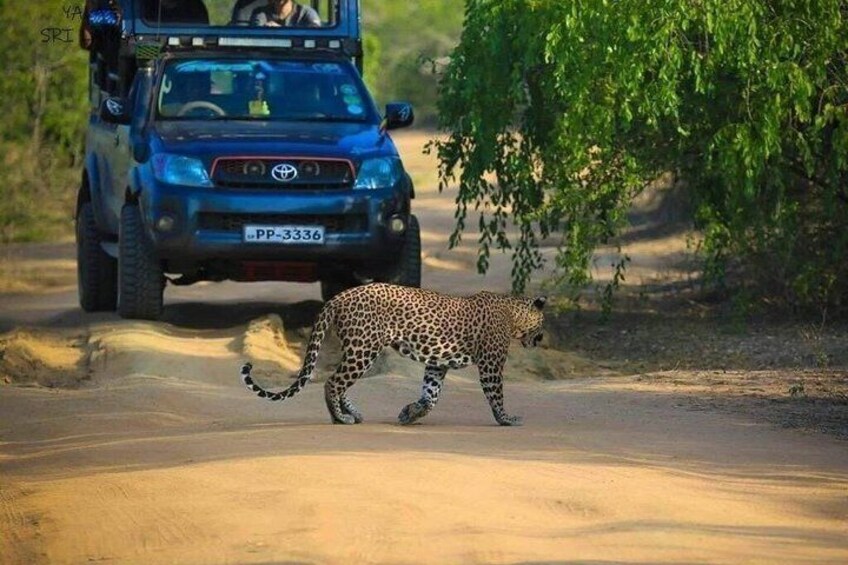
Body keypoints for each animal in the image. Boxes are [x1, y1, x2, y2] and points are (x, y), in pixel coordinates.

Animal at [240, 282, 546, 426]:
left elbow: (431, 396)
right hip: (364, 349)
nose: (542, 338)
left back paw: (352, 413)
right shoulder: (492, 364)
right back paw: (340, 418)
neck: (514, 314)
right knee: (333, 383)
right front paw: (506, 419)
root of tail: (339, 296)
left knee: (338, 382)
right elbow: (496, 395)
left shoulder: (438, 364)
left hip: (357, 350)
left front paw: (410, 413)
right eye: (543, 322)